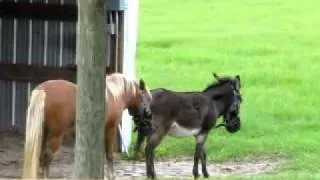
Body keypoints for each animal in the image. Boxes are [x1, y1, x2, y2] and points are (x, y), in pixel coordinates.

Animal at [22, 72, 152, 179]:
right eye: (147, 98)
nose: (148, 119)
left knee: (40, 156)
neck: (113, 94)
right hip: (56, 135)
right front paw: (111, 176)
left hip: (43, 133)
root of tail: (42, 90)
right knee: (47, 157)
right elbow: (109, 154)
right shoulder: (110, 128)